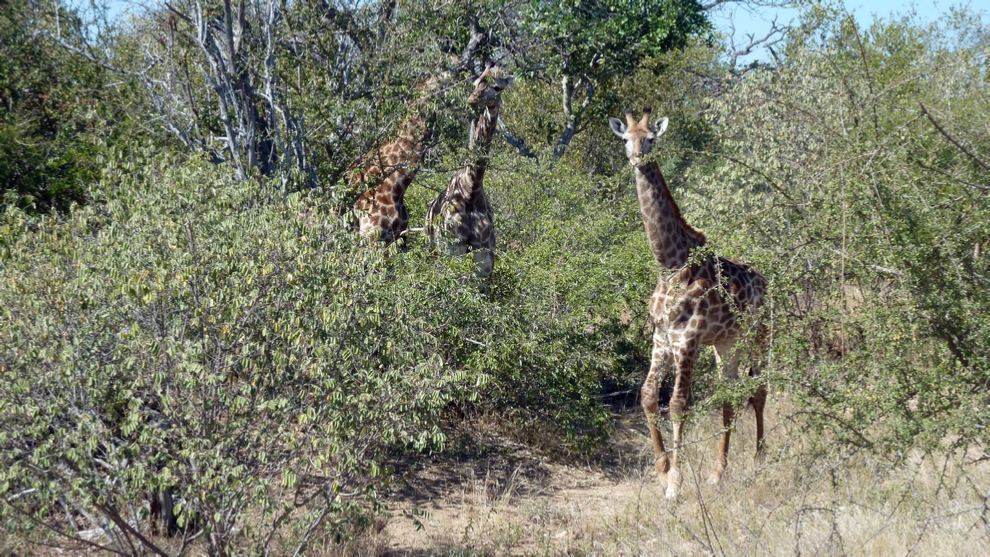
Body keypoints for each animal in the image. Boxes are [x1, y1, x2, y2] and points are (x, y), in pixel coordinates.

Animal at [612, 106, 776, 498]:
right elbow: (648, 395)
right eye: (626, 139)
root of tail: (766, 280)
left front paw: (675, 485)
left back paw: (759, 461)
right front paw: (661, 471)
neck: (669, 264)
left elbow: (678, 405)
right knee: (729, 393)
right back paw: (718, 473)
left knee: (759, 390)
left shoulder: (687, 339)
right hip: (727, 343)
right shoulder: (661, 337)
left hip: (761, 333)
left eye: (651, 138)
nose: (638, 158)